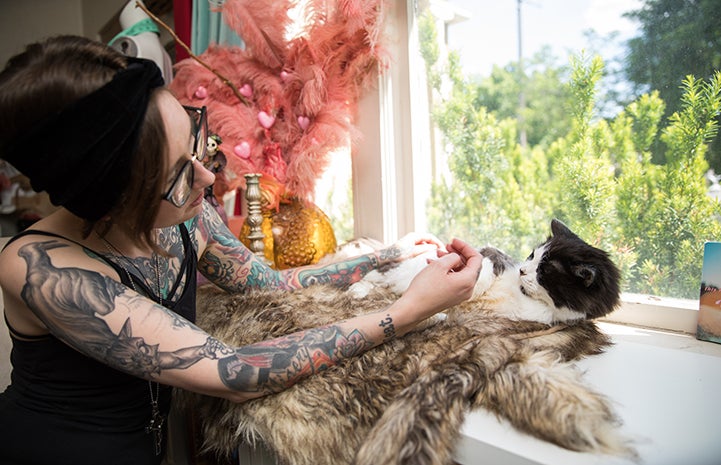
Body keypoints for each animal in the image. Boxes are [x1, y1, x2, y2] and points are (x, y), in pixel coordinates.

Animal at [348, 218, 620, 322]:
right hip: (398, 267)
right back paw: (357, 289)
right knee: (377, 274)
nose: (523, 270)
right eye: (531, 256)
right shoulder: (491, 254)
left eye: (543, 272)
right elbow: (484, 266)